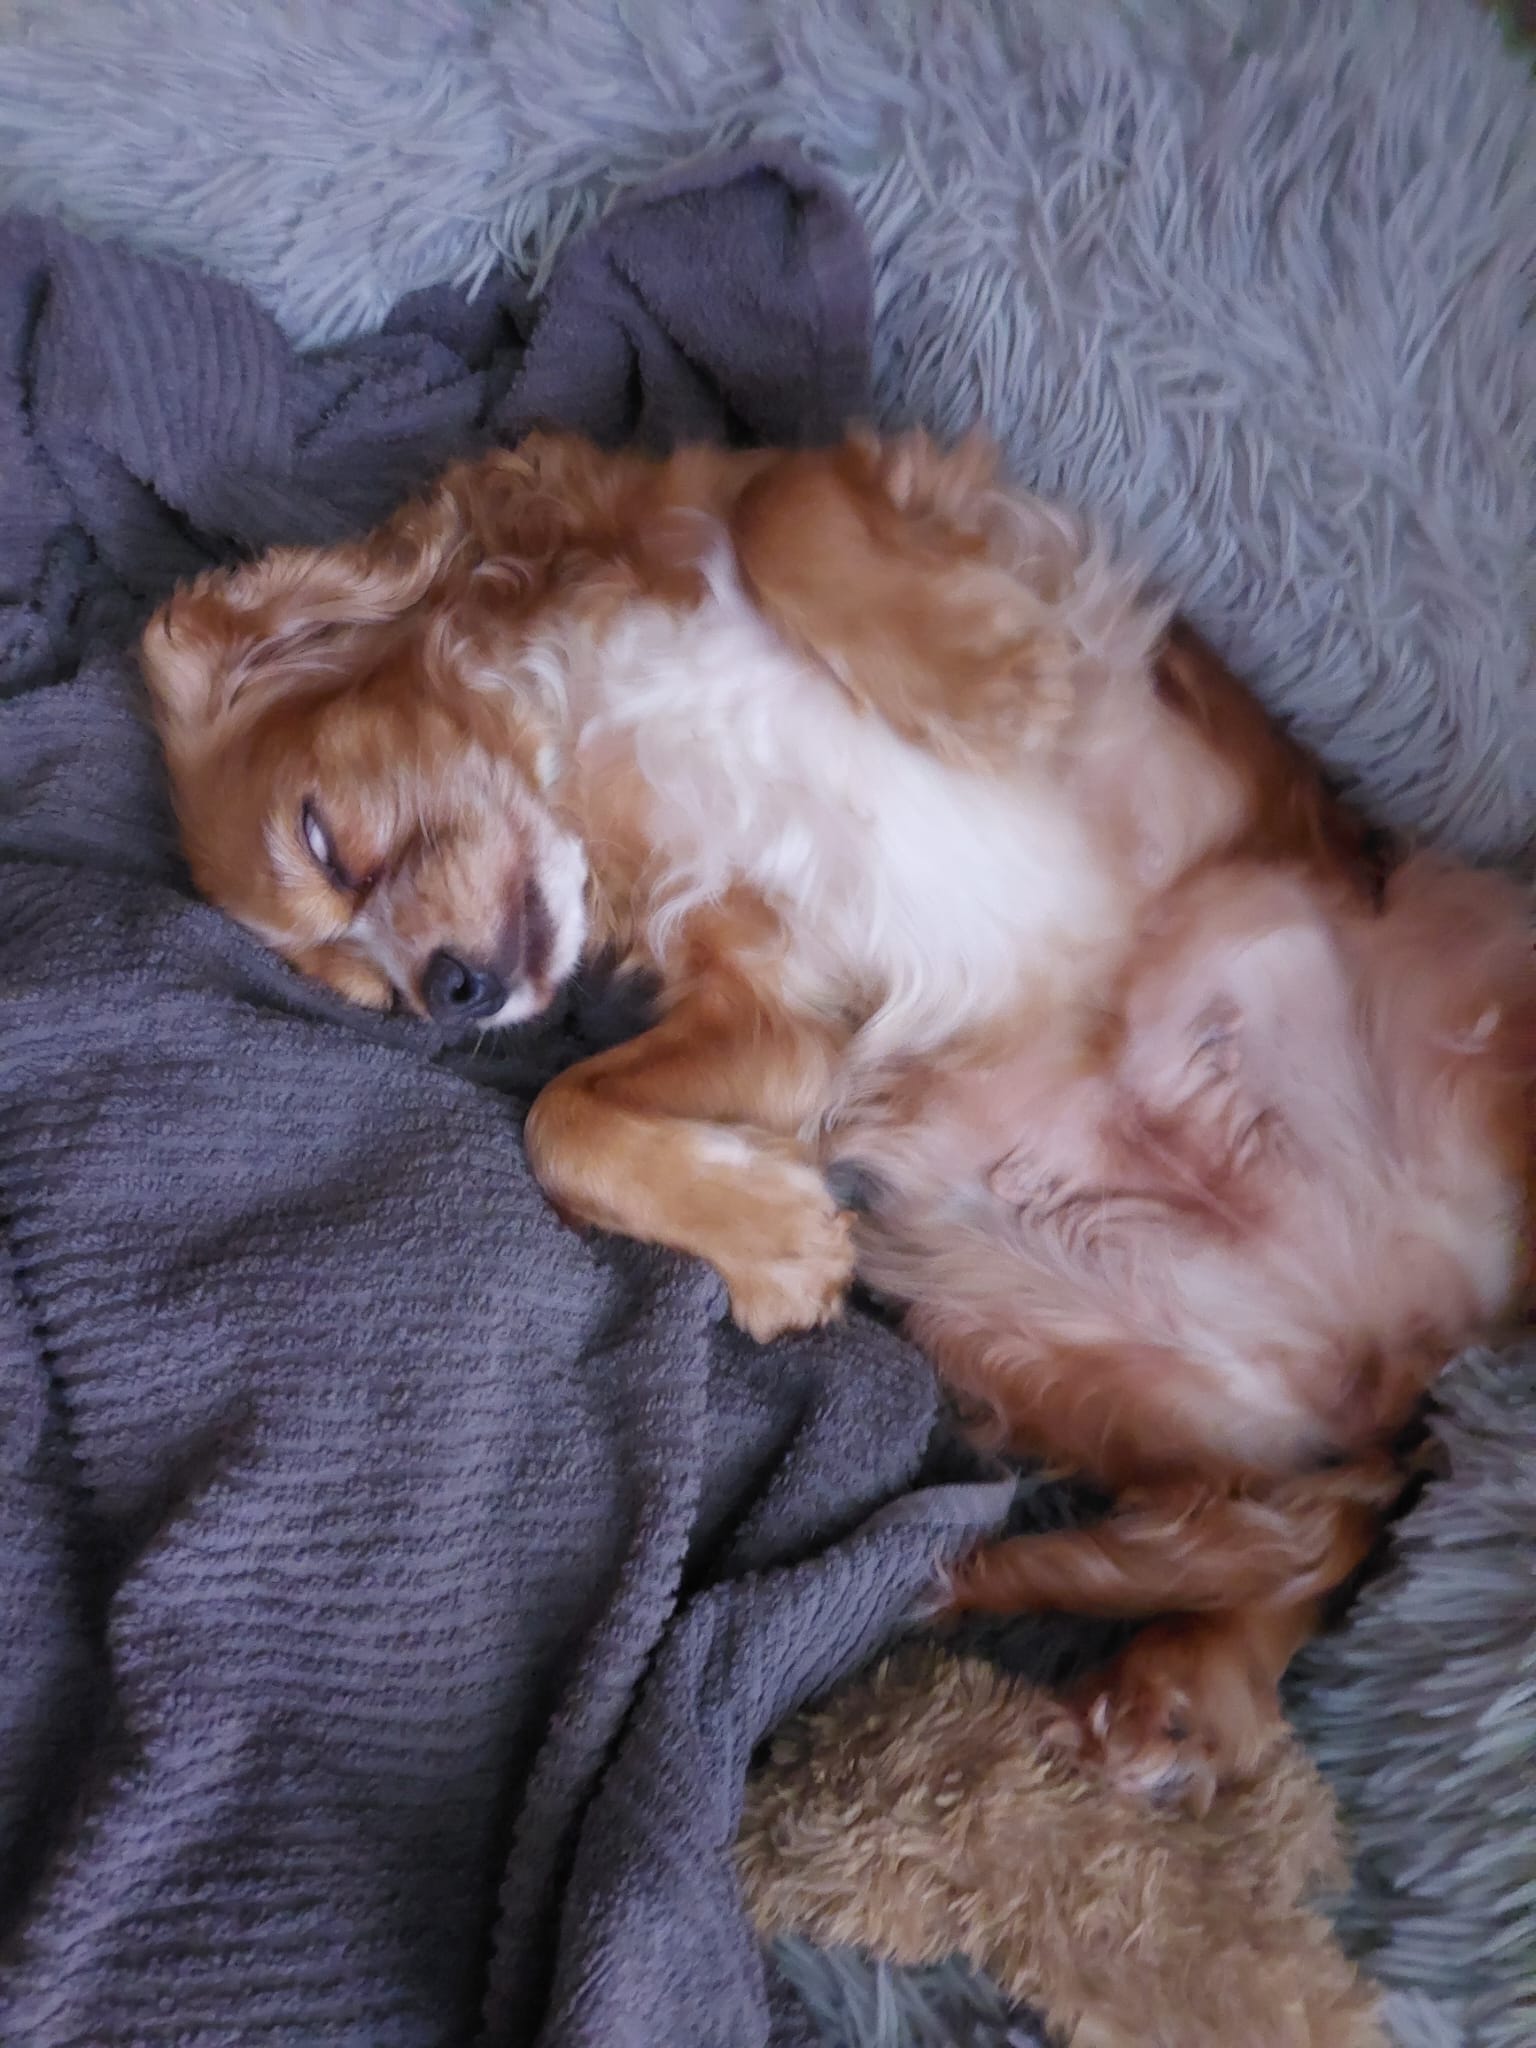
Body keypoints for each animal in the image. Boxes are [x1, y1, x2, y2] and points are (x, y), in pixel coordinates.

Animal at [141, 428, 1533, 1799]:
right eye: (369, 991)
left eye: (327, 843)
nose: (449, 994)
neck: (578, 726)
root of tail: (1399, 1339)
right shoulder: (781, 1007)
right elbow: (563, 1120)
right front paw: (772, 1242)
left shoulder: (850, 494)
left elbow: (784, 506)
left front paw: (987, 685)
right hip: (1053, 1344)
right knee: (1310, 1531)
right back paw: (1171, 1683)